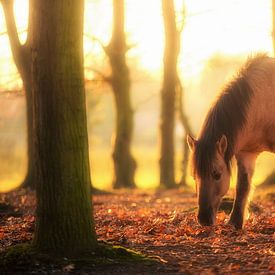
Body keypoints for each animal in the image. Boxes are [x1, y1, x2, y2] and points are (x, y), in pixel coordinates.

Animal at [188, 55, 275, 230]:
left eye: (217, 174)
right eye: (194, 175)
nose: (203, 219)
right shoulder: (246, 154)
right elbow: (242, 187)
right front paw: (235, 222)